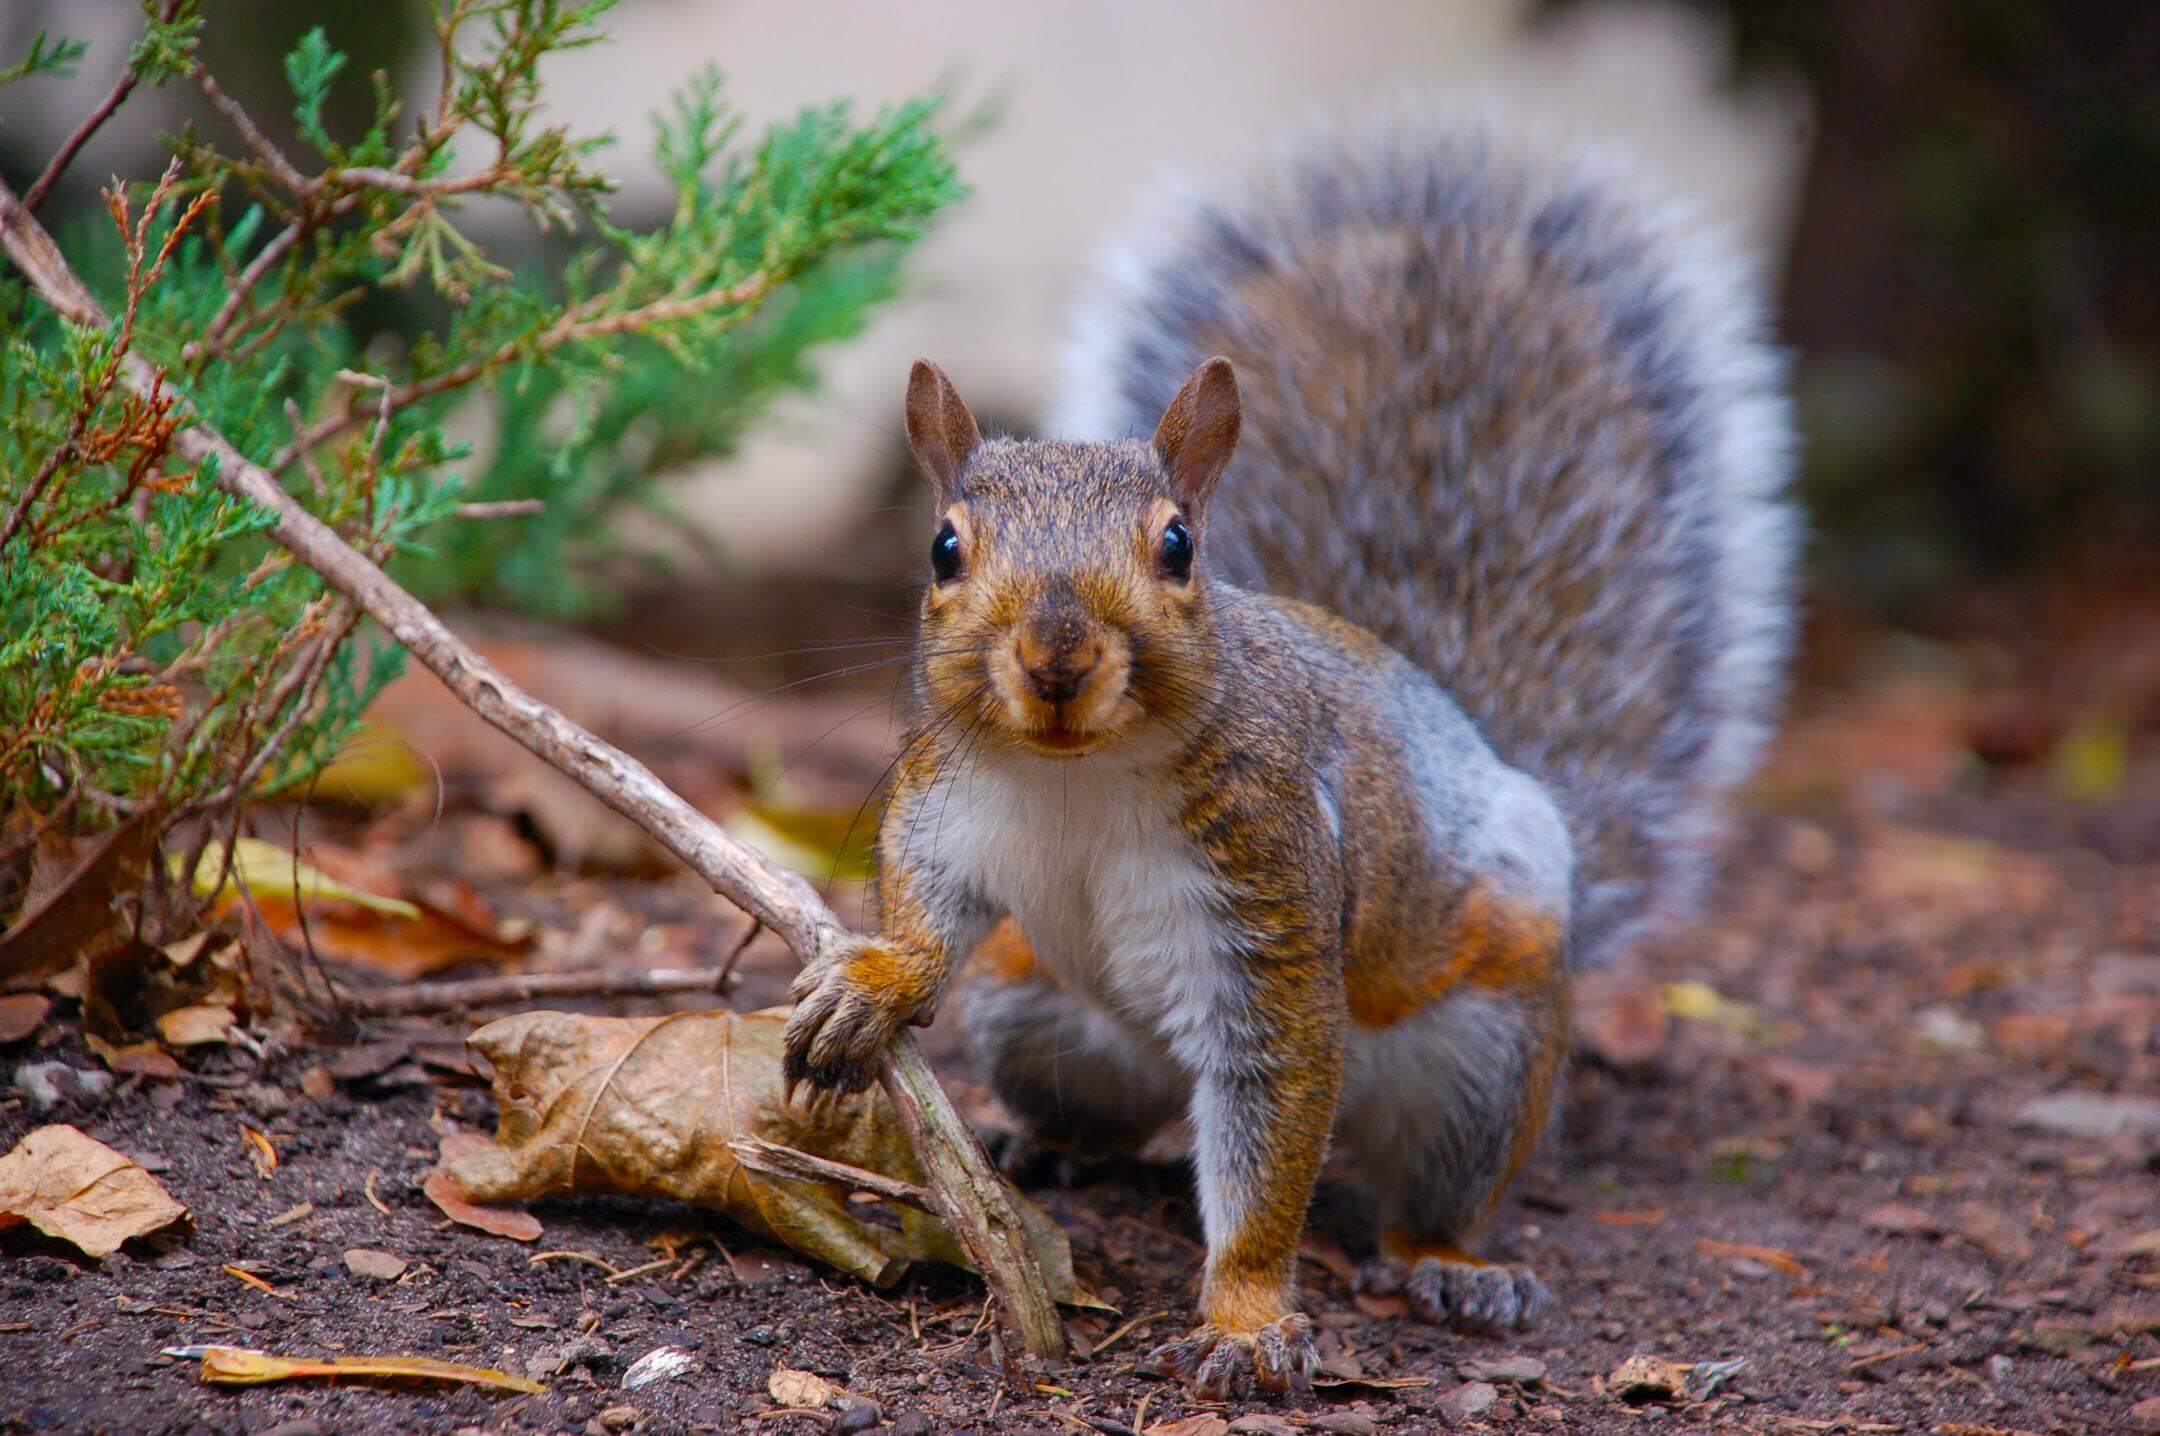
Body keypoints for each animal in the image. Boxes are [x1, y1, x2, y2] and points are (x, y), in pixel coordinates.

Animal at [784, 105, 1797, 1398]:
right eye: (943, 547)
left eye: (1178, 546)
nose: (1057, 658)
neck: (1077, 777)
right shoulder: (944, 793)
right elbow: (923, 901)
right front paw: (876, 983)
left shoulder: (1269, 889)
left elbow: (1271, 1126)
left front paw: (1249, 1317)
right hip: (1031, 1007)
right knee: (1107, 1104)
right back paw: (1045, 1139)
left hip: (1487, 1044)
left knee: (1421, 1177)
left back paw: (1452, 1263)